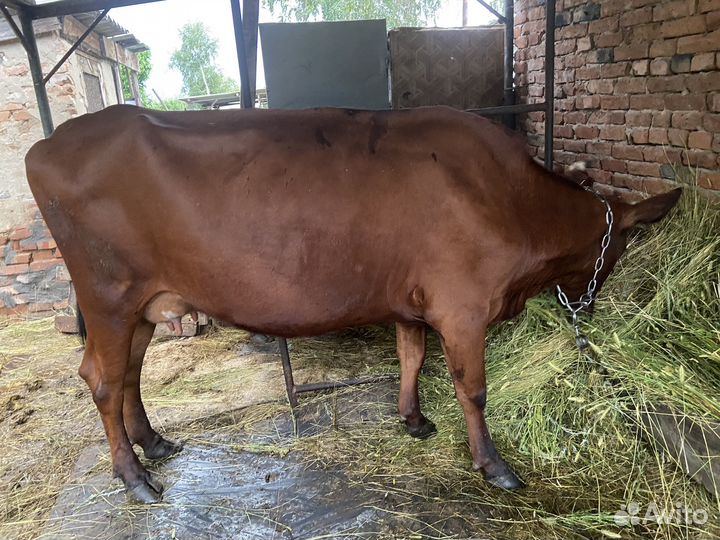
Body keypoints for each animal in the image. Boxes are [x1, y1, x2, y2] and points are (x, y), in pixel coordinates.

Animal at [25, 105, 681, 503]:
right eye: (620, 247)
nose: (587, 305)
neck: (511, 198)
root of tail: (51, 141)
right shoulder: (463, 306)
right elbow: (473, 388)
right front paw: (494, 466)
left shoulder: (413, 302)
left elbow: (412, 357)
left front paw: (413, 420)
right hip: (108, 294)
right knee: (102, 378)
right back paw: (135, 477)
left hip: (145, 301)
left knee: (128, 373)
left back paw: (155, 443)